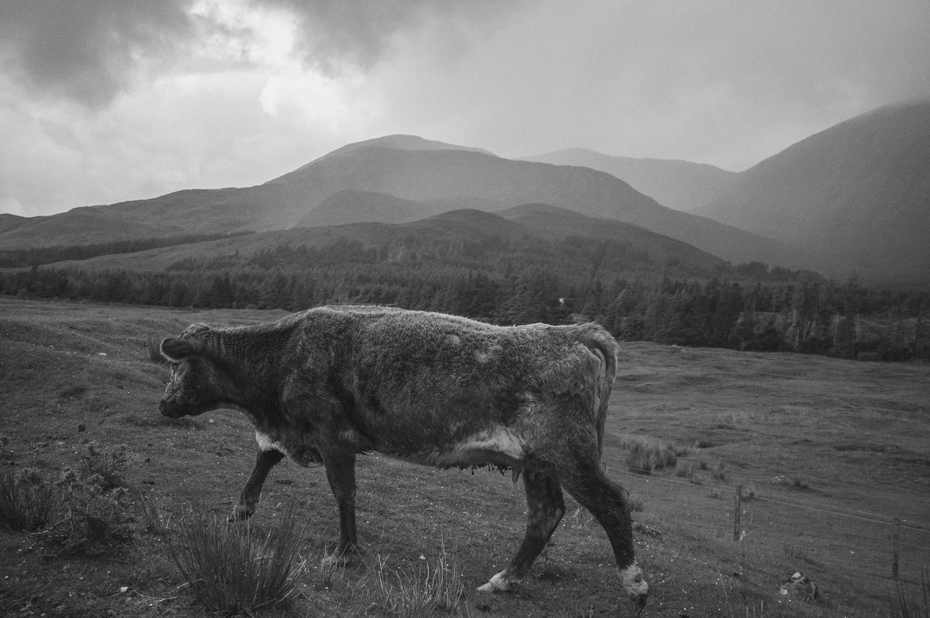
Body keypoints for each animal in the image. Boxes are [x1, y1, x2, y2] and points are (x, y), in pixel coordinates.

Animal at [156, 306, 648, 604]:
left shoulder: (332, 435)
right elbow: (265, 458)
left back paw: (634, 584)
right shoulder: (293, 429)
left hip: (567, 453)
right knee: (546, 513)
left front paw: (344, 553)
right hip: (536, 462)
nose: (163, 404)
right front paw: (241, 509)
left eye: (179, 366)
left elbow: (343, 492)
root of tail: (577, 333)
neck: (282, 354)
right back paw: (504, 579)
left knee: (612, 503)